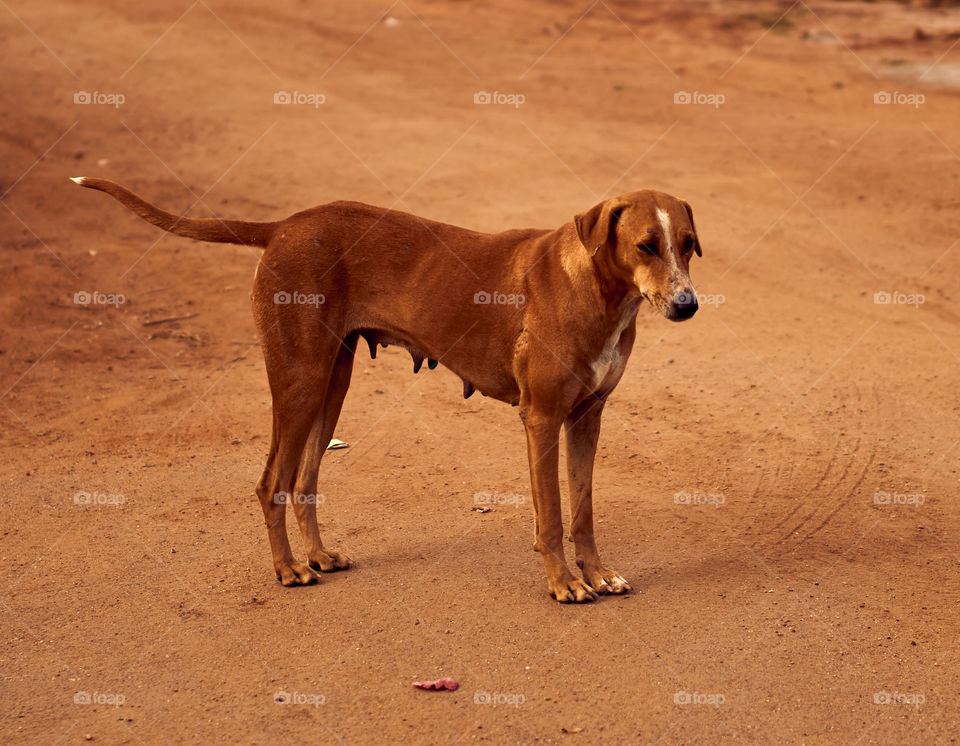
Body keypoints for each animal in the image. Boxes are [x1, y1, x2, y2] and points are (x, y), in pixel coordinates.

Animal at [71, 177, 700, 600]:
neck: (597, 291)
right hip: (299, 383)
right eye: (646, 245)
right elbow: (549, 516)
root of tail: (285, 225)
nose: (689, 304)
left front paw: (596, 572)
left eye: (689, 244)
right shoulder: (542, 417)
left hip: (332, 383)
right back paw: (287, 570)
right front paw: (564, 583)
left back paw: (317, 556)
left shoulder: (587, 417)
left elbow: (583, 510)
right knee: (271, 483)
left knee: (303, 480)